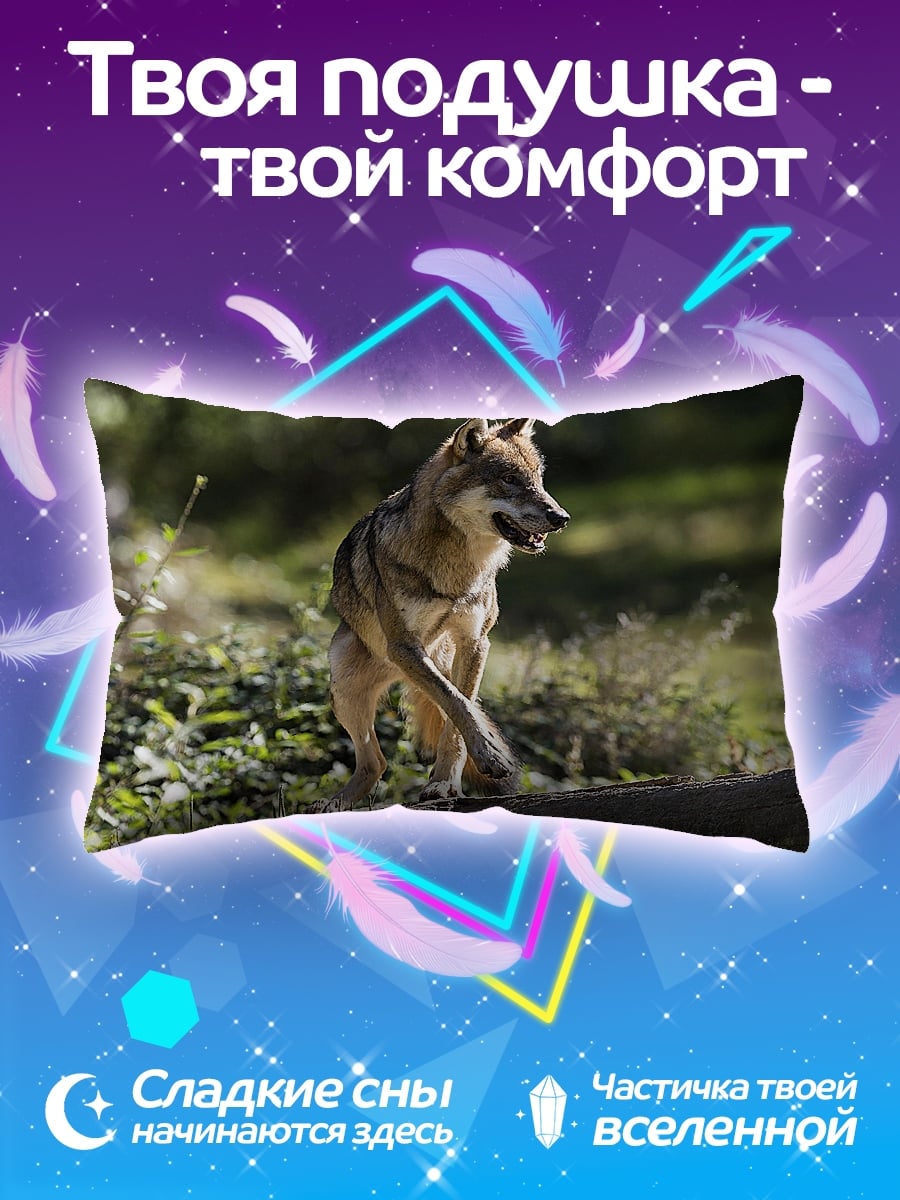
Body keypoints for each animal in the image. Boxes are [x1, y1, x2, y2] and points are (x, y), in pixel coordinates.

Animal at [327, 416, 569, 808]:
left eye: (538, 478)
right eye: (509, 479)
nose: (561, 517)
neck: (458, 568)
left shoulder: (474, 642)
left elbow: (458, 714)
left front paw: (444, 782)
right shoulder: (404, 646)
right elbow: (456, 703)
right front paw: (484, 757)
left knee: (388, 754)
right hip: (346, 684)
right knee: (375, 763)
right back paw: (332, 804)